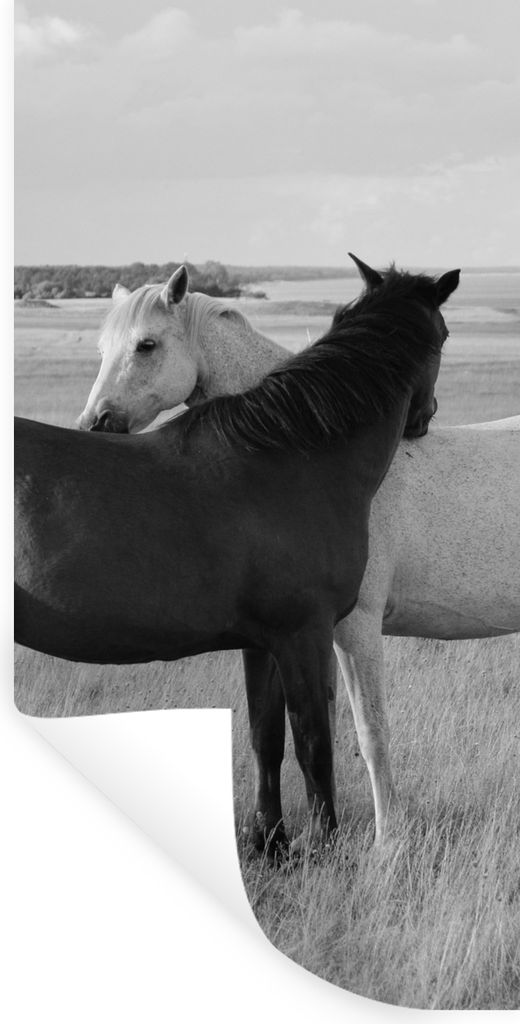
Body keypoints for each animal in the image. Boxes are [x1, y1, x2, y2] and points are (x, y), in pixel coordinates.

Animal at [76, 257, 520, 848]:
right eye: (102, 347)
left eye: (146, 345)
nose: (94, 424)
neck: (310, 450)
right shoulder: (299, 634)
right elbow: (290, 728)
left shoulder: (353, 629)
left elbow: (368, 732)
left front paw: (386, 843)